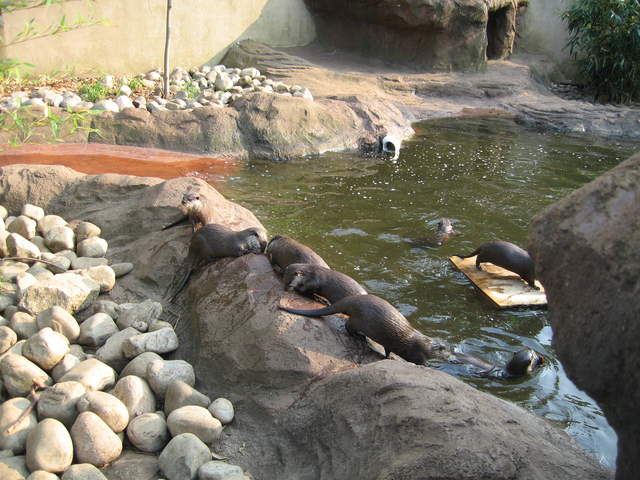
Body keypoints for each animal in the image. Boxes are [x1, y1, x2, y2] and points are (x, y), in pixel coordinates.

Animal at [279, 294, 448, 365]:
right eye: (445, 350)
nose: (451, 357)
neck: (423, 343)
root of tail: (351, 301)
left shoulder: (390, 344)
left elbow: (388, 350)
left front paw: (389, 357)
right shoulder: (417, 353)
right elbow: (419, 362)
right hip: (358, 320)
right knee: (347, 327)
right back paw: (360, 337)